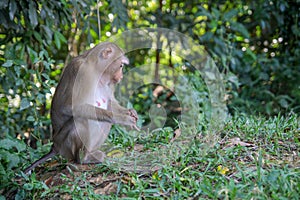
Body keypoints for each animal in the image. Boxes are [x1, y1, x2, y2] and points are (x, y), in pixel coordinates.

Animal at [23, 41, 139, 173]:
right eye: (120, 66)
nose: (121, 76)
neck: (96, 69)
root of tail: (55, 146)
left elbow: (110, 102)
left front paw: (130, 112)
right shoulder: (81, 71)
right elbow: (69, 107)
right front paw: (122, 118)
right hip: (65, 146)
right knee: (82, 118)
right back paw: (84, 158)